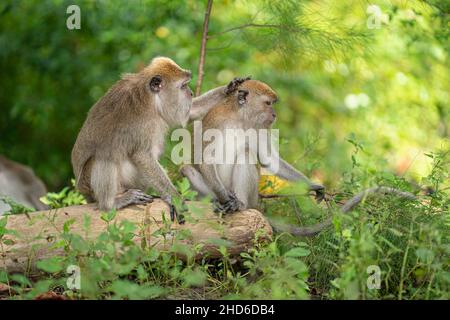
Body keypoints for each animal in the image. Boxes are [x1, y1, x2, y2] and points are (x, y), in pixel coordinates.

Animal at [73, 55, 250, 220]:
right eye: (183, 86)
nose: (191, 93)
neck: (150, 98)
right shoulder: (145, 122)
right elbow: (142, 156)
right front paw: (176, 199)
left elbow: (190, 111)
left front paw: (229, 88)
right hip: (89, 184)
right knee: (106, 153)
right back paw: (110, 204)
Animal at [181, 79, 326, 214]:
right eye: (268, 103)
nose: (274, 114)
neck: (241, 118)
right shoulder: (217, 121)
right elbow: (205, 160)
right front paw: (226, 198)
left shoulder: (261, 127)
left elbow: (269, 160)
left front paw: (312, 185)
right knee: (186, 170)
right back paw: (217, 200)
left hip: (252, 198)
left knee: (245, 154)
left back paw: (241, 204)